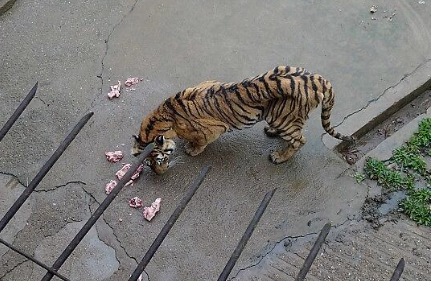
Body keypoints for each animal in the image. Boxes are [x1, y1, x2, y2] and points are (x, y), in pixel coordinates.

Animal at [132, 66, 354, 174]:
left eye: (158, 160)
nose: (159, 173)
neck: (165, 116)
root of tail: (319, 80)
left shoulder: (213, 130)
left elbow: (200, 142)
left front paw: (192, 150)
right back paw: (272, 133)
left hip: (281, 117)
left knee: (300, 140)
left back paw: (279, 157)